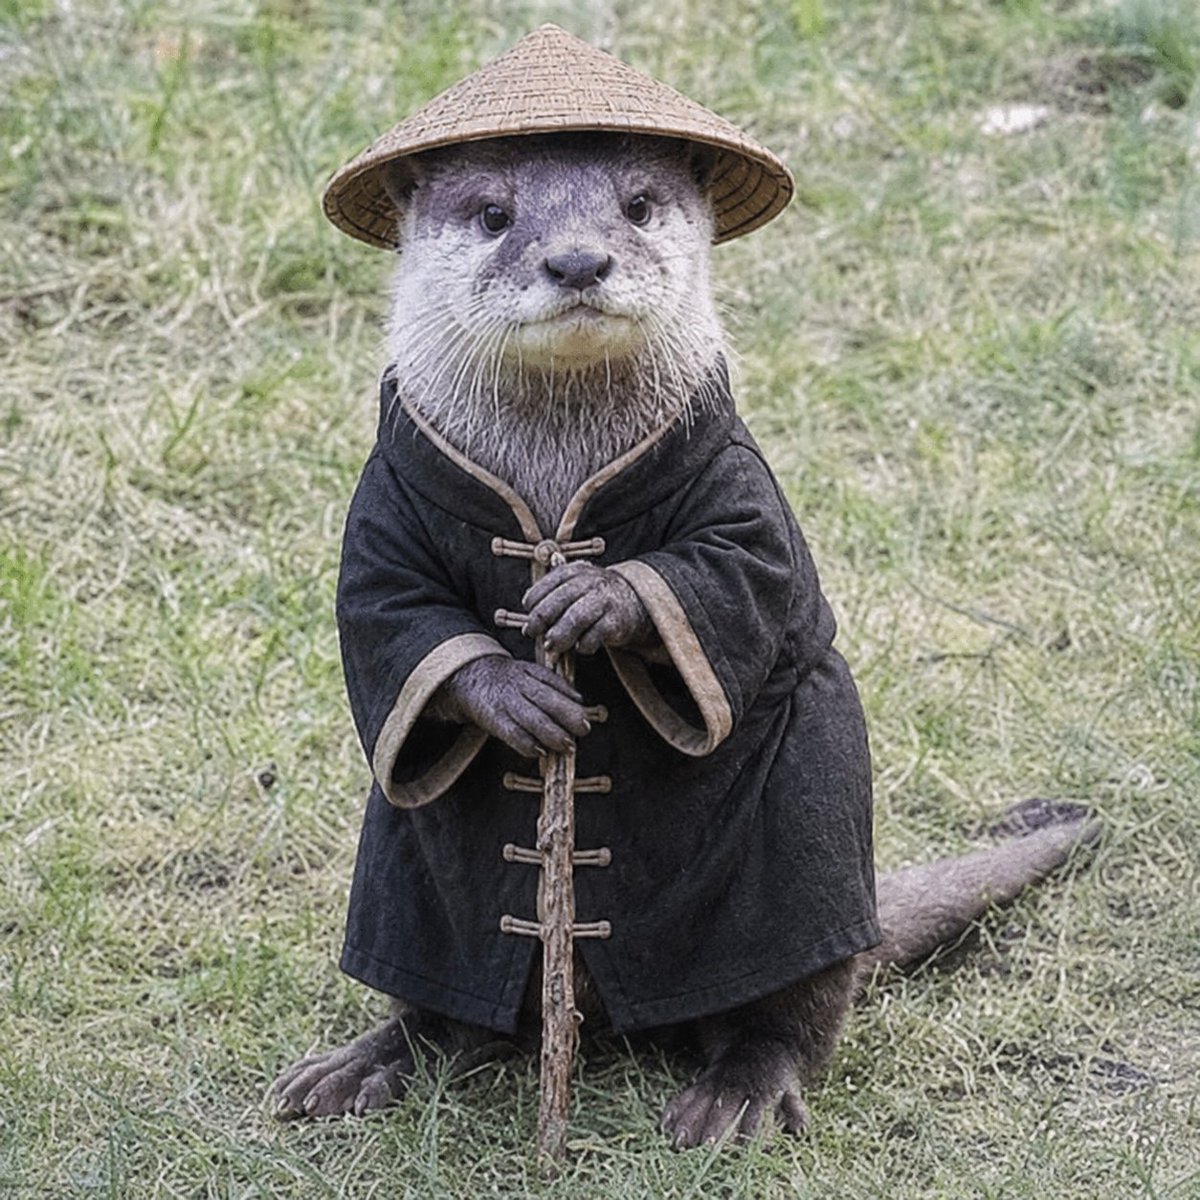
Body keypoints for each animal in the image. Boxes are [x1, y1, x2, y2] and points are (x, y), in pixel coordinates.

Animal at [271, 131, 1097, 1148]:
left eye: (635, 205)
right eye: (496, 214)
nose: (578, 261)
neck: (558, 457)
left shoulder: (738, 481)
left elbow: (735, 572)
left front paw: (596, 598)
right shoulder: (385, 501)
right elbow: (391, 613)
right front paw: (517, 693)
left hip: (810, 874)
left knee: (794, 1016)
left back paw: (736, 1096)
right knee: (448, 1018)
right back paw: (360, 1065)